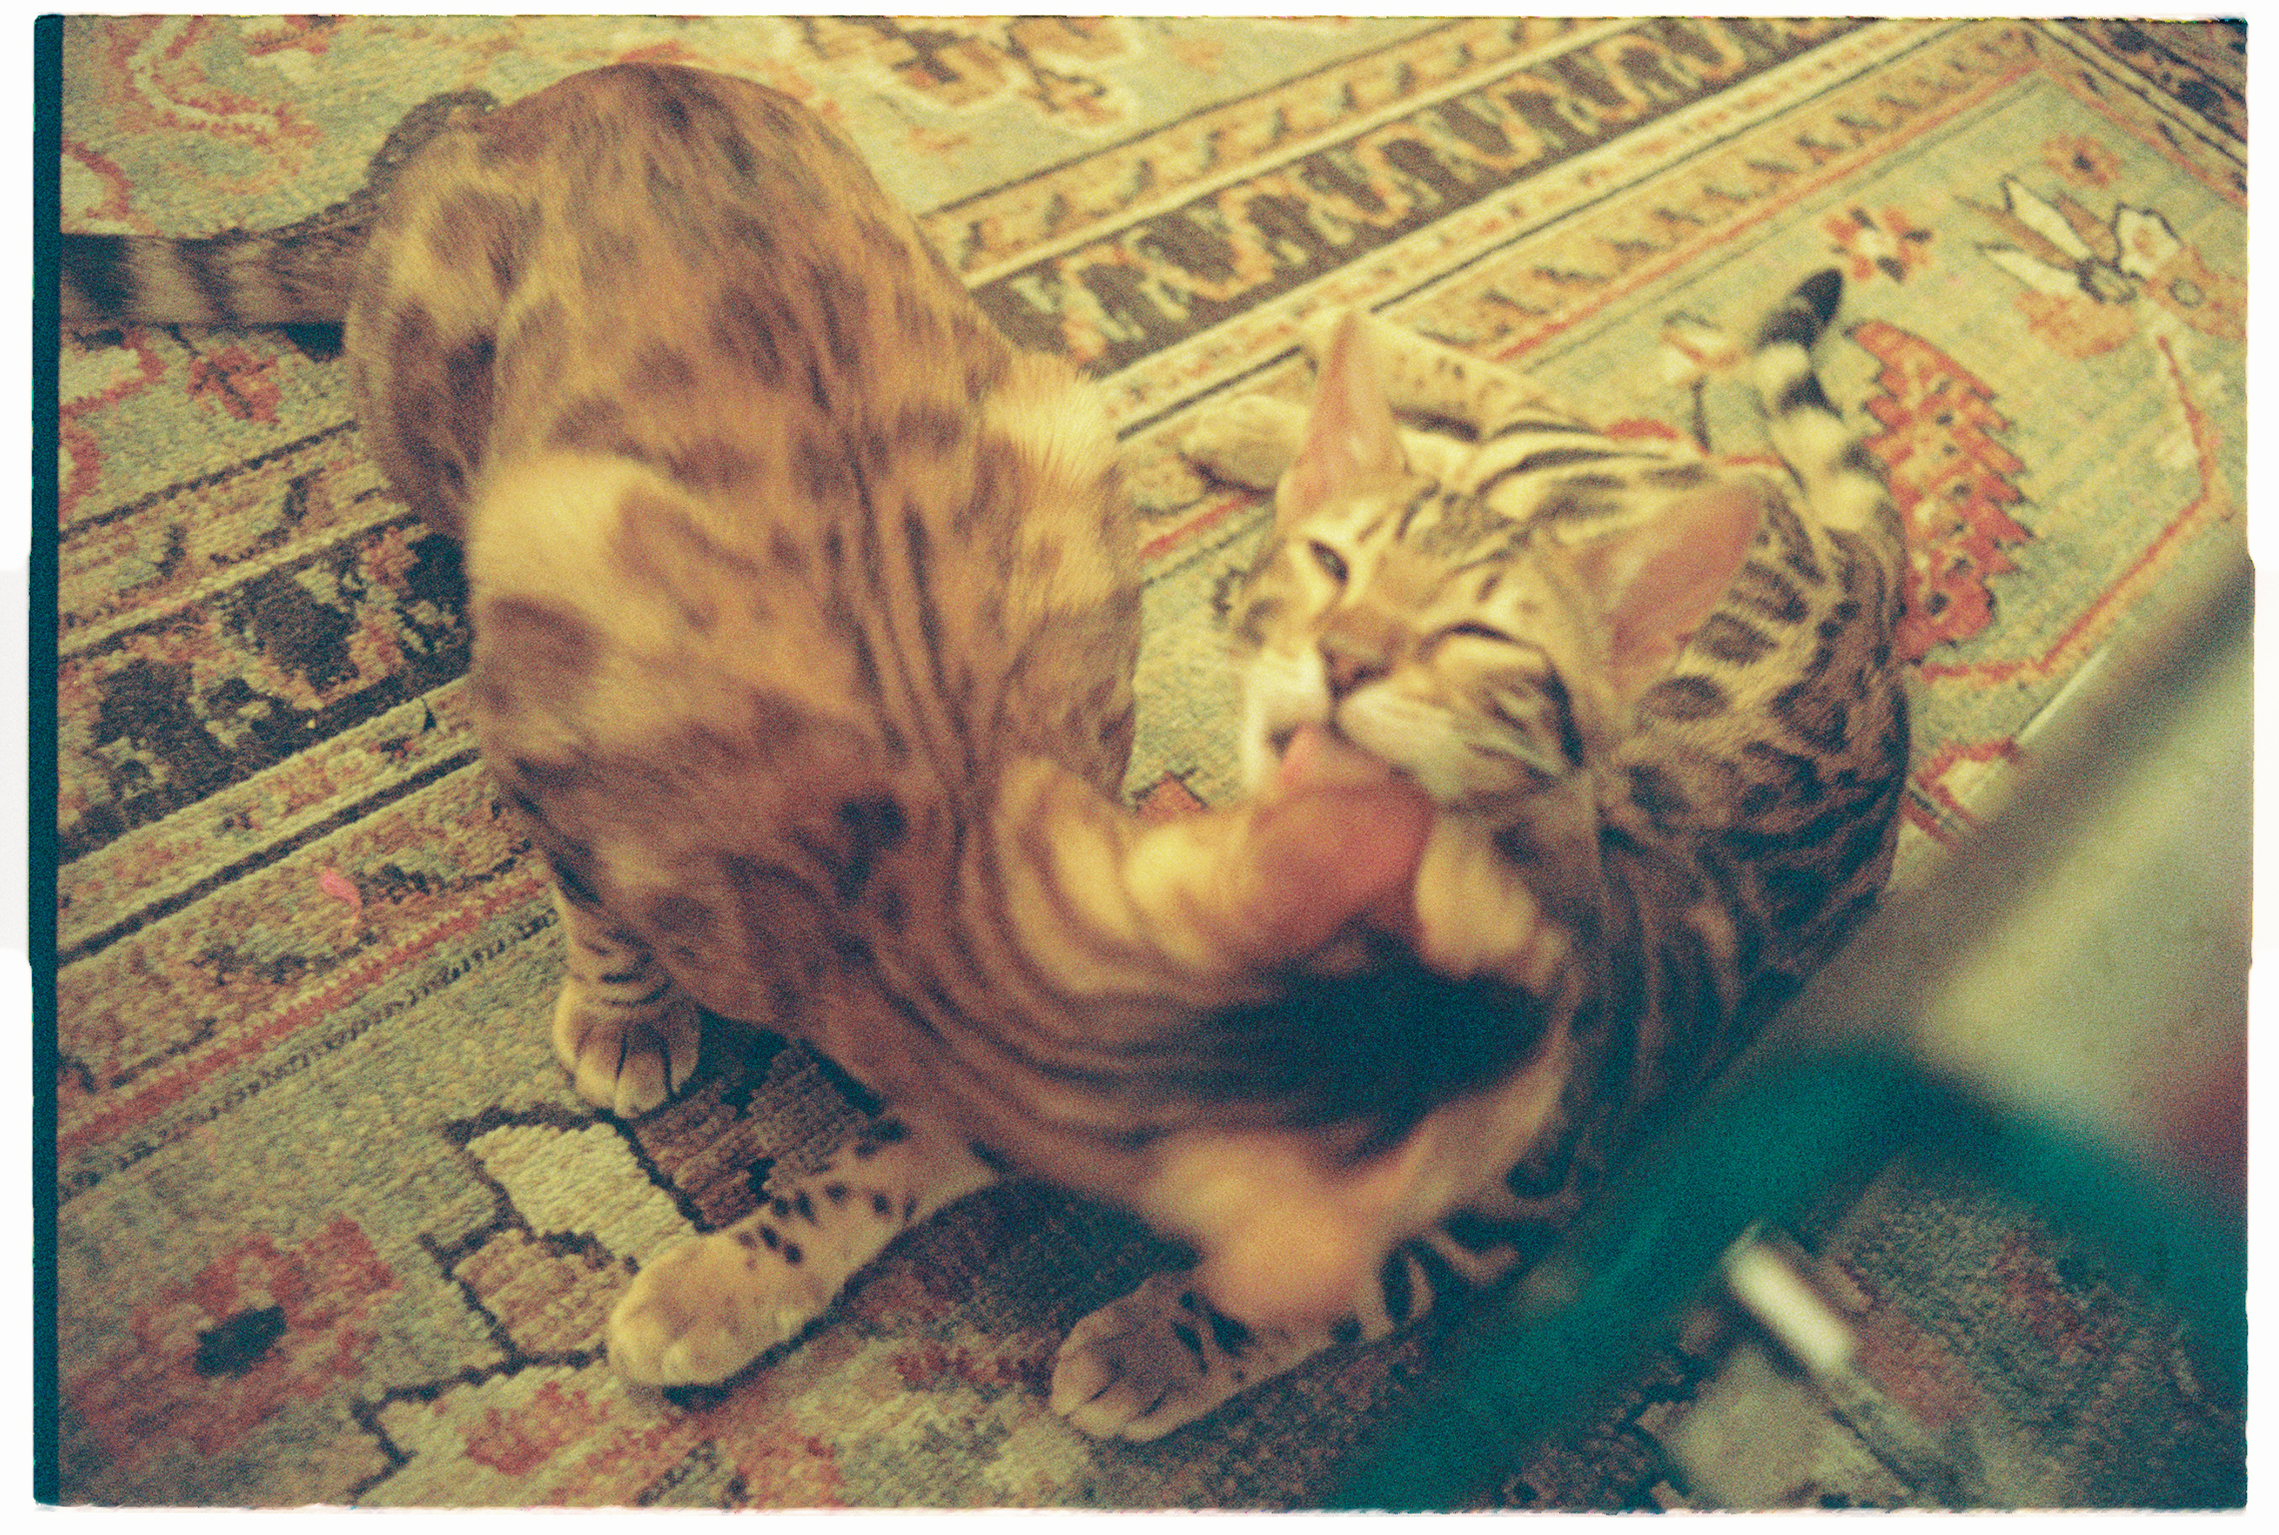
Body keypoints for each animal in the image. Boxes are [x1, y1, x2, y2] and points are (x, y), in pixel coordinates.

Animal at [1044, 271, 1911, 1440]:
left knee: (1510, 432)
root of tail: (1867, 580)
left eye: (1480, 640)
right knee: (1501, 421)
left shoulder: (1494, 1221)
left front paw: (1150, 1345)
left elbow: (1312, 1290)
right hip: (1553, 478)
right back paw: (1304, 386)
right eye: (1330, 570)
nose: (1346, 654)